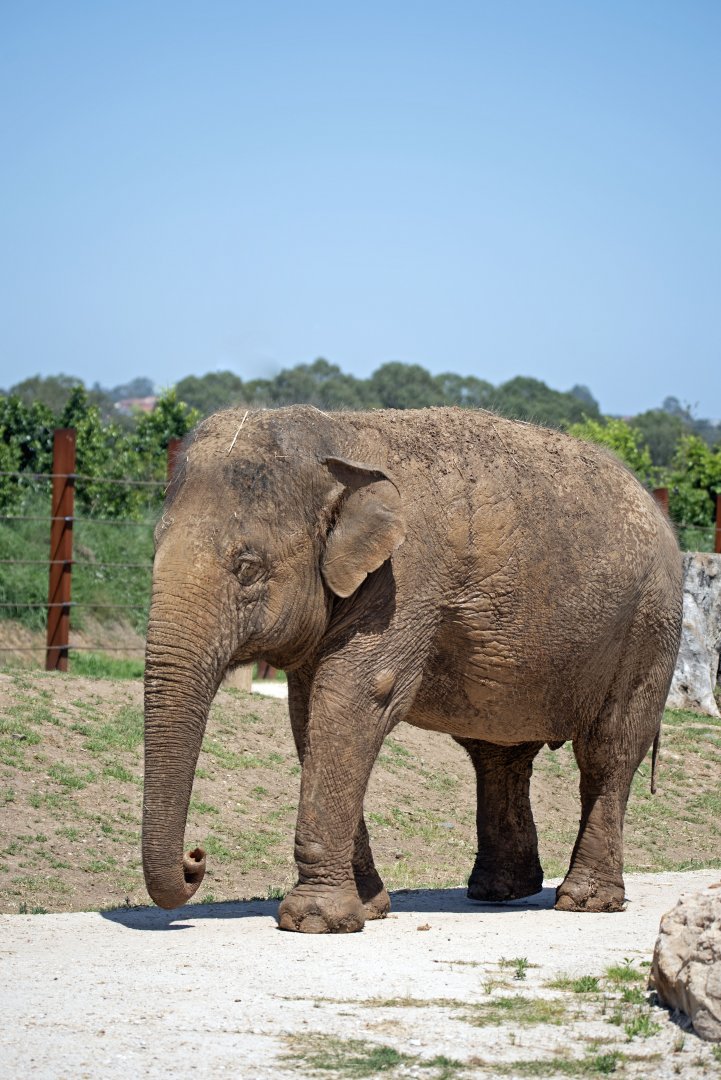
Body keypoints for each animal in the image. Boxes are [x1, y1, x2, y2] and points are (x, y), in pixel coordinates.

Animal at [142, 404, 682, 933]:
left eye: (248, 568)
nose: (196, 858)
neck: (340, 435)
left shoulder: (406, 579)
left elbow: (353, 700)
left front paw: (315, 921)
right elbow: (308, 715)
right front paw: (368, 908)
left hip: (649, 630)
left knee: (608, 753)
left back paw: (583, 901)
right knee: (499, 754)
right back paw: (499, 892)